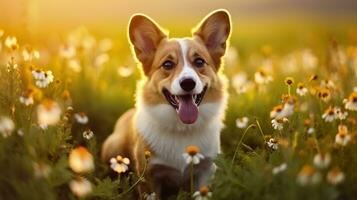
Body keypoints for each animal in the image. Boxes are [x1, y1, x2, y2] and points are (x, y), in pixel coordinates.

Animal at [101, 9, 231, 198]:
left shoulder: (205, 171)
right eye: (168, 64)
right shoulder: (149, 176)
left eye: (199, 62)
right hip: (113, 148)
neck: (182, 129)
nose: (188, 83)